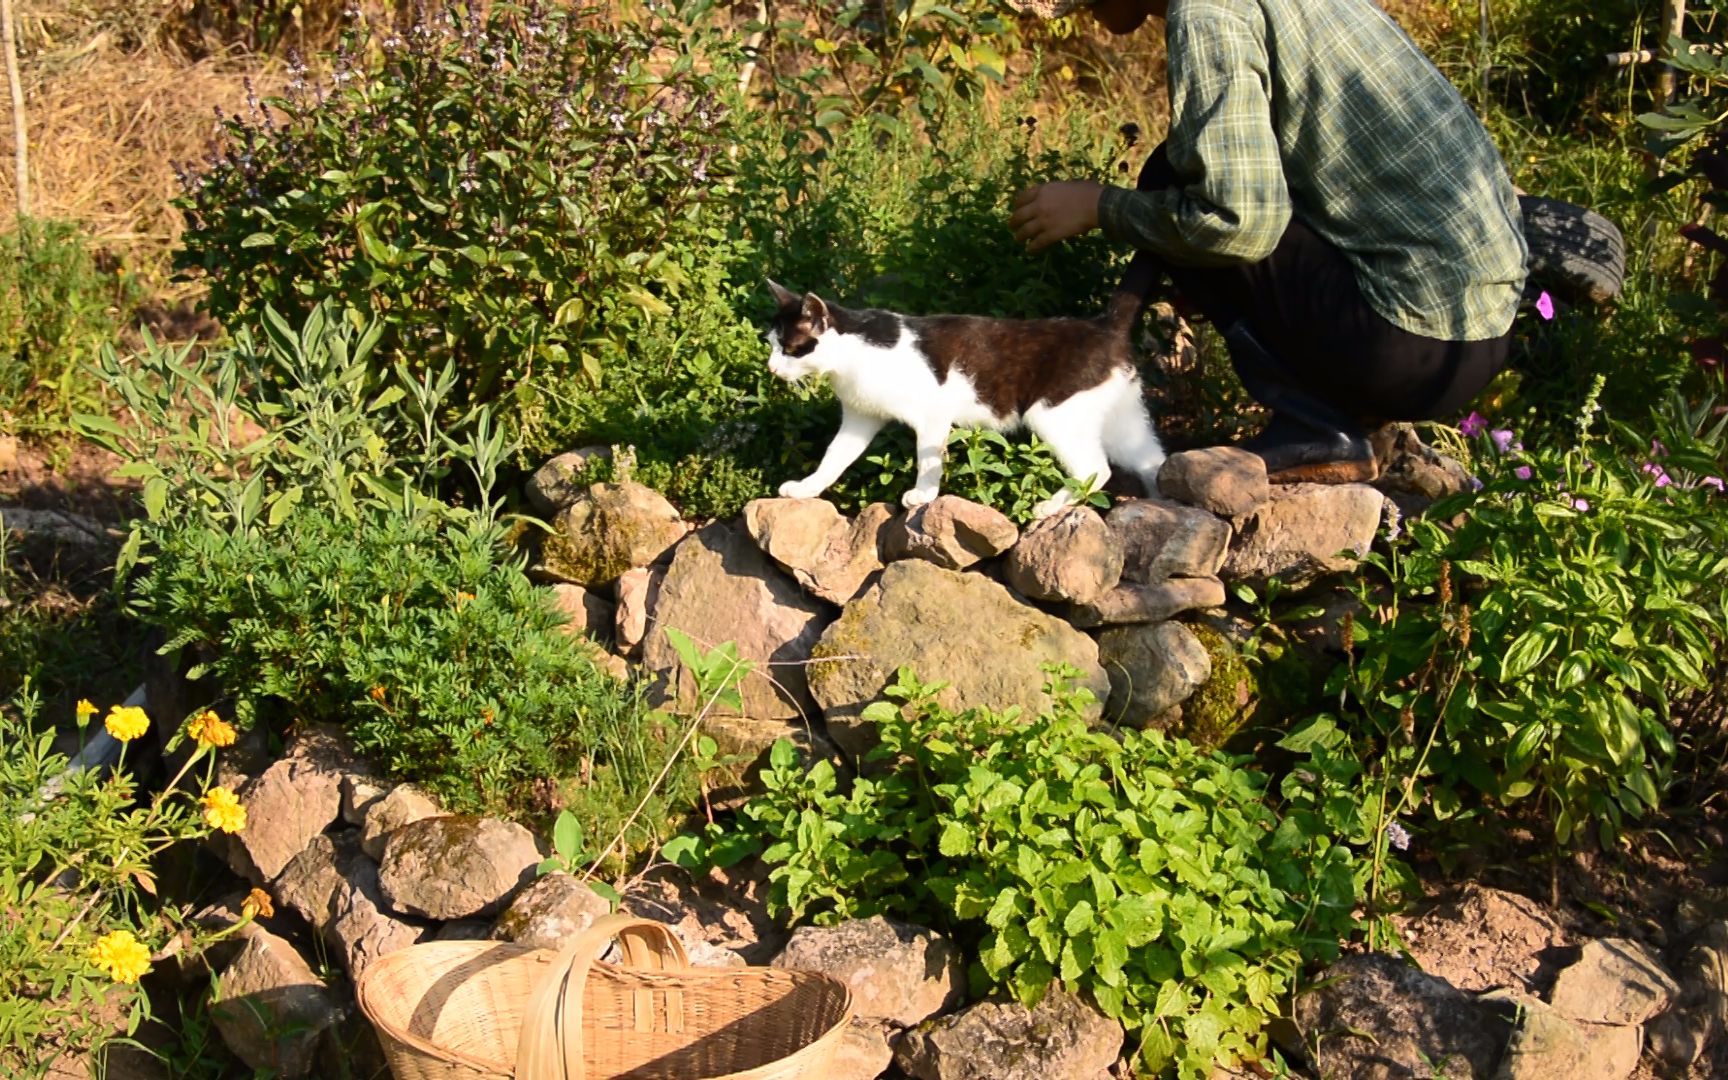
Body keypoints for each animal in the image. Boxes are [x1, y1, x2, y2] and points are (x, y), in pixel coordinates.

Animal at [767, 279, 1161, 521]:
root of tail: (1104, 325)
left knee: (1096, 468)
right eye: (771, 344)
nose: (771, 367)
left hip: (1053, 415)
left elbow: (928, 459)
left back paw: (1049, 507)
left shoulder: (932, 415)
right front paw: (806, 488)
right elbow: (834, 457)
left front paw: (922, 496)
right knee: (1151, 459)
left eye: (790, 348)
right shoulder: (860, 417)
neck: (854, 357)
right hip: (1121, 422)